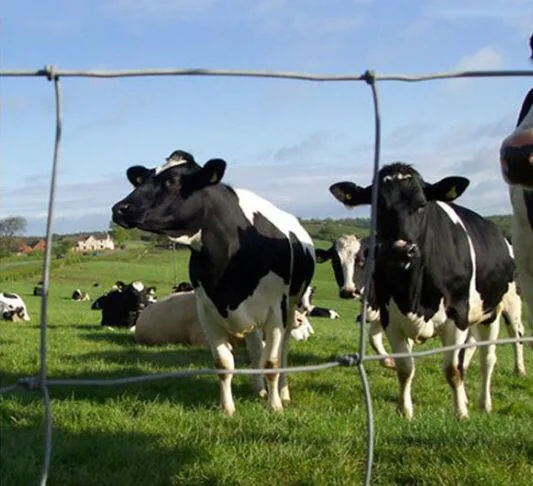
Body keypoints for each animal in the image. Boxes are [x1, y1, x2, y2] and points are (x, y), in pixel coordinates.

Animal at [110, 150, 314, 416]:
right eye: (142, 179)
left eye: (172, 181)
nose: (119, 209)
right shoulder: (207, 311)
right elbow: (224, 363)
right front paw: (227, 409)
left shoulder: (275, 311)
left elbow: (273, 361)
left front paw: (275, 405)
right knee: (256, 348)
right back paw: (258, 388)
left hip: (289, 307)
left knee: (283, 350)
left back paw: (283, 392)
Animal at [328, 161, 520, 420]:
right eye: (377, 208)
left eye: (421, 205)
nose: (401, 250)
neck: (414, 295)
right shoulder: (391, 317)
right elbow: (405, 367)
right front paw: (404, 410)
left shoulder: (457, 316)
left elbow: (452, 369)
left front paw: (460, 413)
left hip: (495, 311)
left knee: (488, 357)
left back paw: (484, 402)